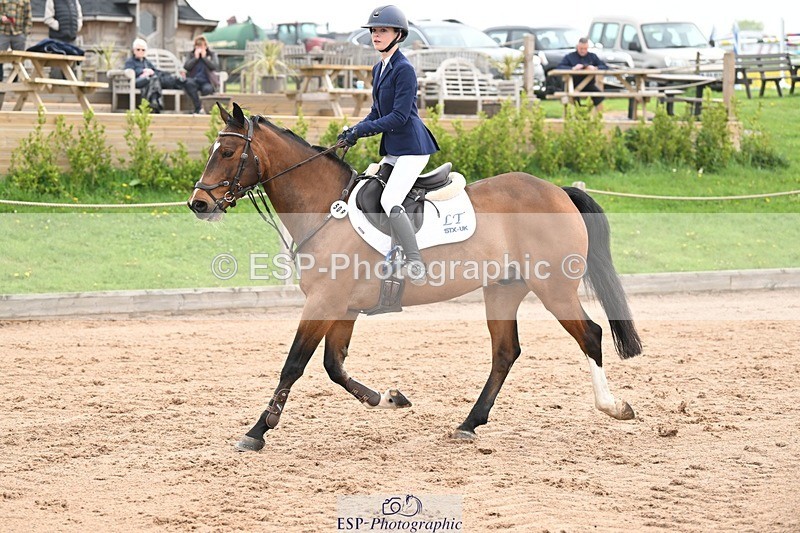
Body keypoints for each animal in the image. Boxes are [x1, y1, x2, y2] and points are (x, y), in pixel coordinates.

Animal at [188, 103, 642, 452]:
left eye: (227, 151)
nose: (198, 204)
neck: (325, 208)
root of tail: (558, 191)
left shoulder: (323, 302)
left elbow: (294, 365)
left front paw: (256, 432)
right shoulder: (342, 307)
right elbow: (334, 366)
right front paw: (389, 398)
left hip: (554, 288)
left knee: (590, 335)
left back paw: (613, 407)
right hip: (502, 290)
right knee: (505, 353)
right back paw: (469, 424)